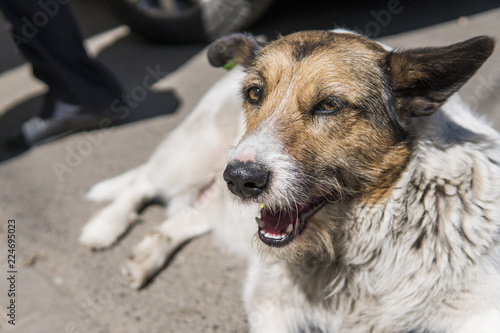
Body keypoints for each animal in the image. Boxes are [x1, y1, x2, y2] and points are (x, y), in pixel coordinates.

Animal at [80, 29, 500, 330]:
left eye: (329, 105)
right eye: (255, 93)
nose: (240, 179)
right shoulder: (269, 304)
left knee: (188, 215)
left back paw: (148, 252)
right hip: (193, 156)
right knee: (143, 182)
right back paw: (104, 227)